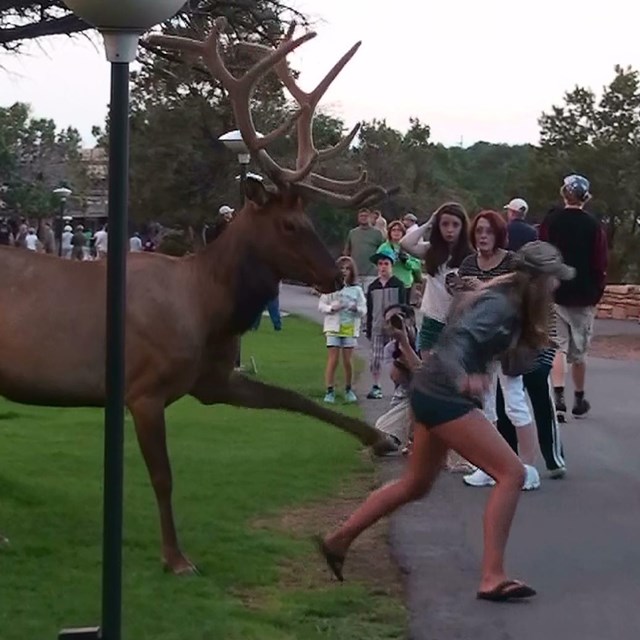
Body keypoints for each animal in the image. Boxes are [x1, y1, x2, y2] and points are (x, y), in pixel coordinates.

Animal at [0, 20, 396, 572]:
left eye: (310, 219)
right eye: (290, 224)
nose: (336, 275)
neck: (207, 310)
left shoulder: (211, 380)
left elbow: (293, 397)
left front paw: (382, 438)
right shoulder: (142, 389)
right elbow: (163, 477)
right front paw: (176, 557)